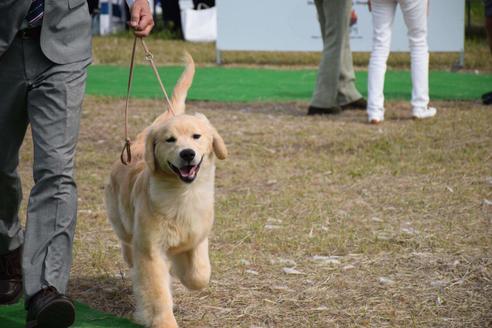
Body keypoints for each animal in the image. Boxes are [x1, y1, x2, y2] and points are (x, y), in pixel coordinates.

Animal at [105, 55, 227, 326]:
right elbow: (158, 294)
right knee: (127, 244)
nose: (187, 153)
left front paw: (185, 271)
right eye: (170, 140)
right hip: (121, 219)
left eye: (196, 136)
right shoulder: (150, 251)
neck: (182, 194)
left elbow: (199, 274)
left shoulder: (198, 235)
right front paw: (164, 321)